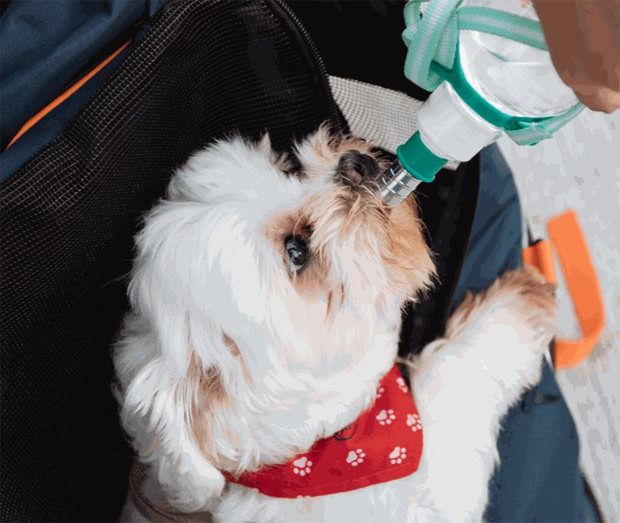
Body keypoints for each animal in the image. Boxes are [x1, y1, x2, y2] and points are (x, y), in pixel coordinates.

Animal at [114, 128, 556, 523]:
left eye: (289, 168)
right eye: (296, 251)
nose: (355, 165)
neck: (330, 450)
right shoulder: (434, 492)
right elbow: (457, 383)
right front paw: (518, 307)